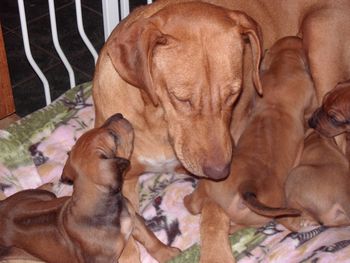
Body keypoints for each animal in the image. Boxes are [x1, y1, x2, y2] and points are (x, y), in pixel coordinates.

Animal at [0, 114, 179, 263]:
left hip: (41, 196)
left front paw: (169, 253)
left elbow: (150, 239)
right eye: (113, 136)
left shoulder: (133, 218)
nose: (118, 115)